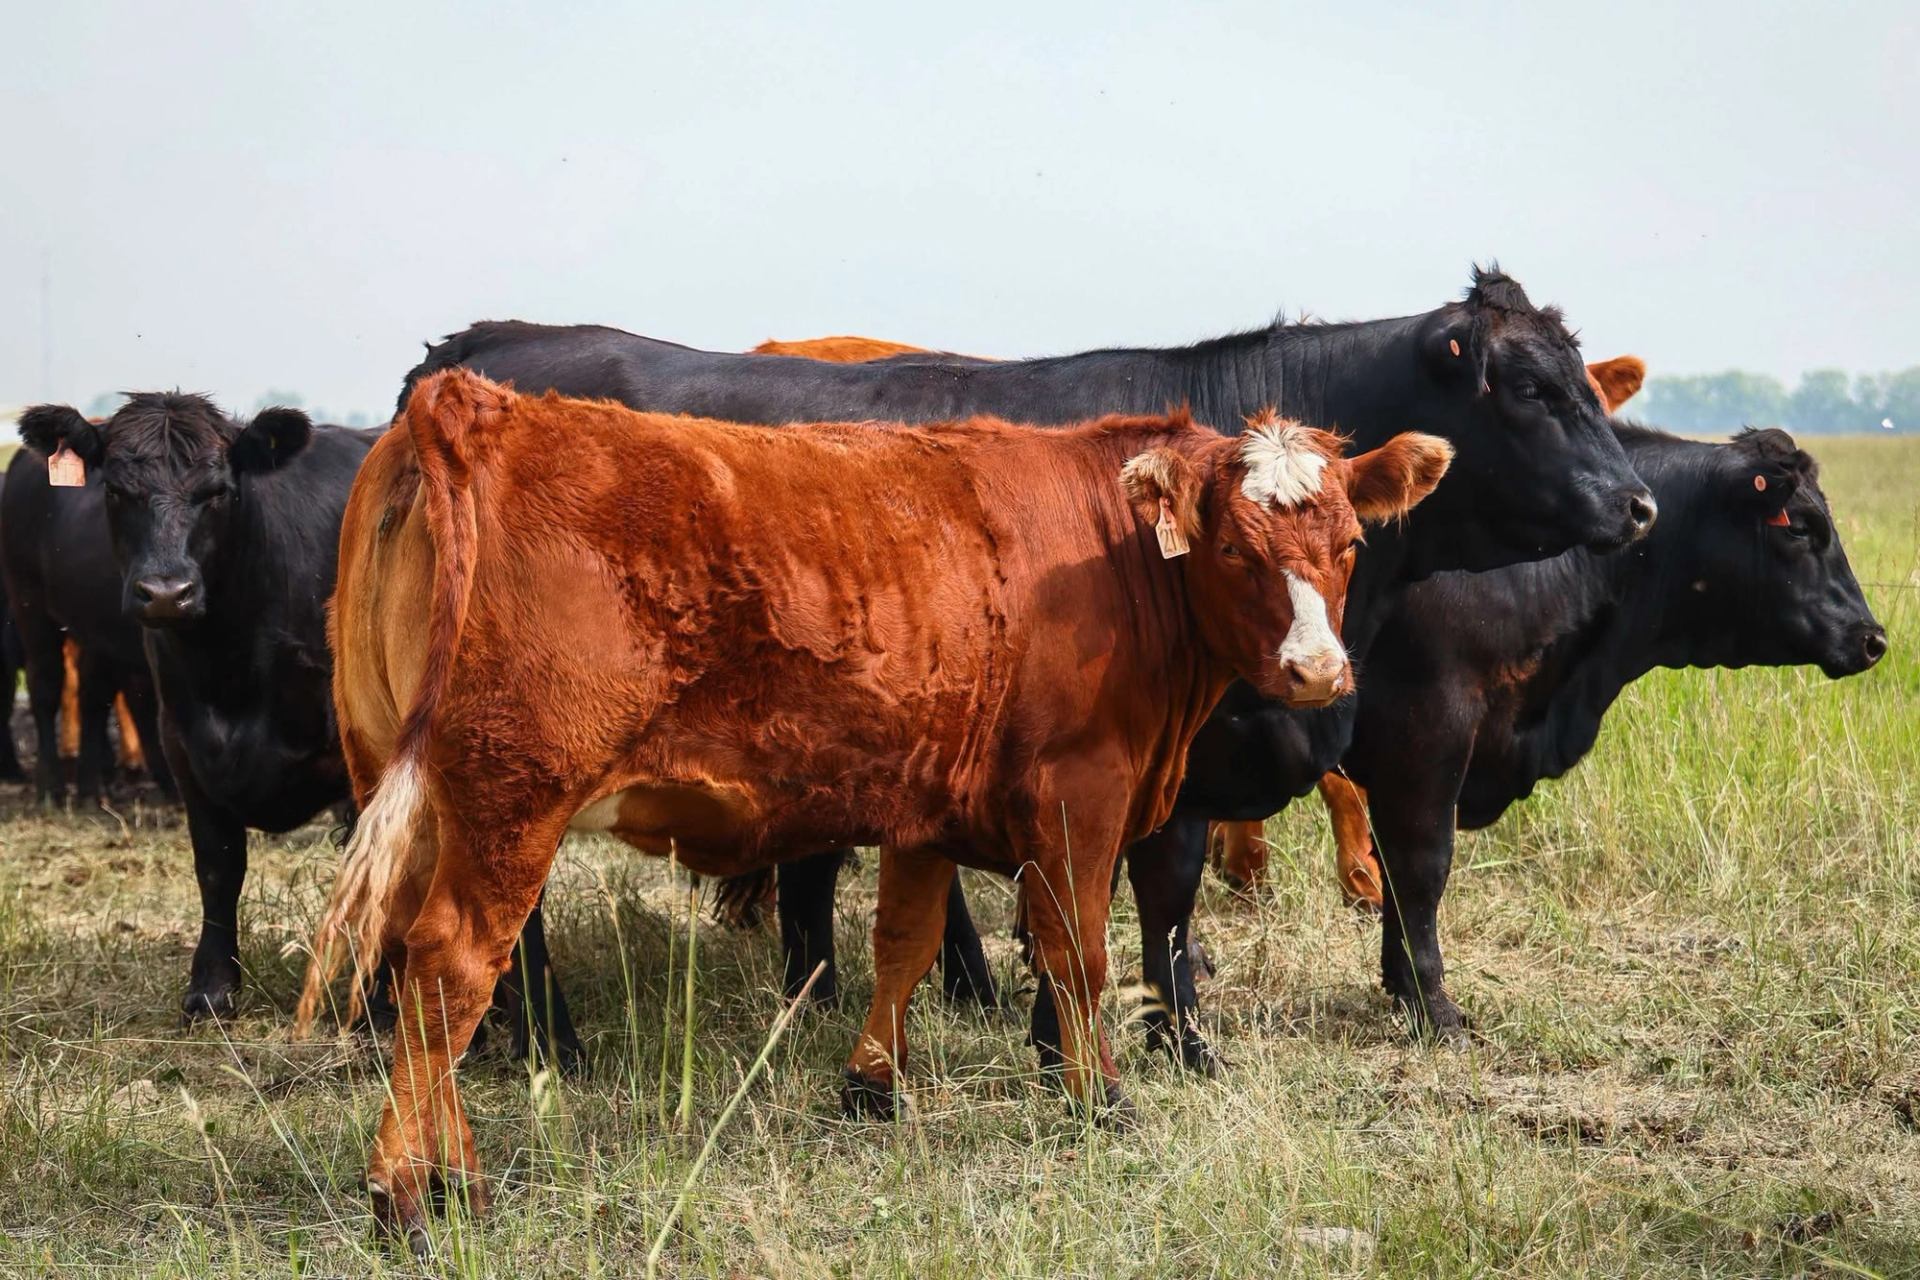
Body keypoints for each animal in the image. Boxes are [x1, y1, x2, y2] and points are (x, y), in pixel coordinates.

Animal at [0, 446, 174, 805]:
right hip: (30, 607)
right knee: (46, 687)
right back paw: (51, 784)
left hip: (98, 629)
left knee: (97, 696)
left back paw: (94, 786)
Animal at [294, 370, 1451, 1242]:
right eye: (1235, 548)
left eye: (1349, 545)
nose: (1317, 671)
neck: (1107, 550)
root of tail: (478, 406)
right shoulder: (1077, 796)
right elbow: (1078, 951)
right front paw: (1100, 1098)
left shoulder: (925, 806)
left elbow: (904, 938)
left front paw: (871, 1086)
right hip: (508, 807)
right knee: (453, 969)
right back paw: (408, 1192)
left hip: (406, 796)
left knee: (420, 974)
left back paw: (453, 1172)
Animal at [397, 267, 1656, 1073]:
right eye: (1532, 390)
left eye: (1588, 381)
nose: (1640, 502)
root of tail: (475, 348)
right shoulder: (1156, 761)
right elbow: (1157, 894)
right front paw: (1164, 1039)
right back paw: (545, 1038)